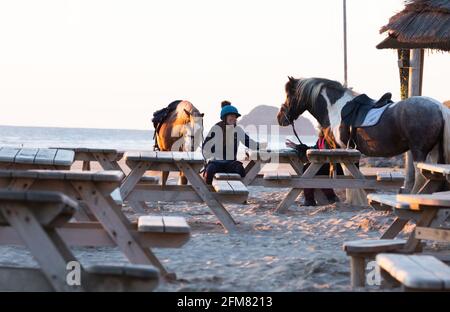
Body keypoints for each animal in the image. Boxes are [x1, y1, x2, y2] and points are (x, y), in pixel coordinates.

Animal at [278, 77, 450, 194]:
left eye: (288, 96)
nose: (280, 118)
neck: (335, 108)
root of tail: (439, 107)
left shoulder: (341, 148)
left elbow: (345, 173)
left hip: (419, 151)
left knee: (421, 176)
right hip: (434, 151)